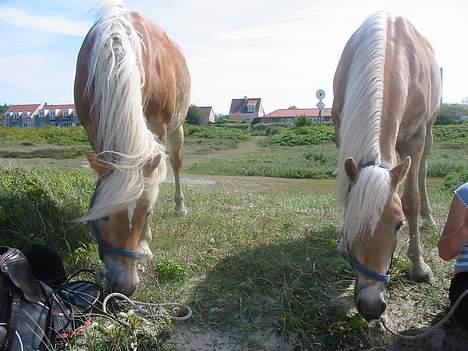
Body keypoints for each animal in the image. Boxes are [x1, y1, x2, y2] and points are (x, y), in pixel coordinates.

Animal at [73, 0, 190, 296]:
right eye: (103, 218)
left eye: (146, 213)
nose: (125, 286)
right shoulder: (93, 126)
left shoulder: (159, 126)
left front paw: (145, 245)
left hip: (177, 129)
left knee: (176, 164)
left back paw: (180, 207)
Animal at [332, 12, 438, 322]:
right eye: (351, 225)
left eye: (399, 225)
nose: (370, 305)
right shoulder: (340, 125)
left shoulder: (415, 138)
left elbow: (411, 200)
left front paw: (419, 267)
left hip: (427, 133)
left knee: (422, 171)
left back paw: (429, 218)